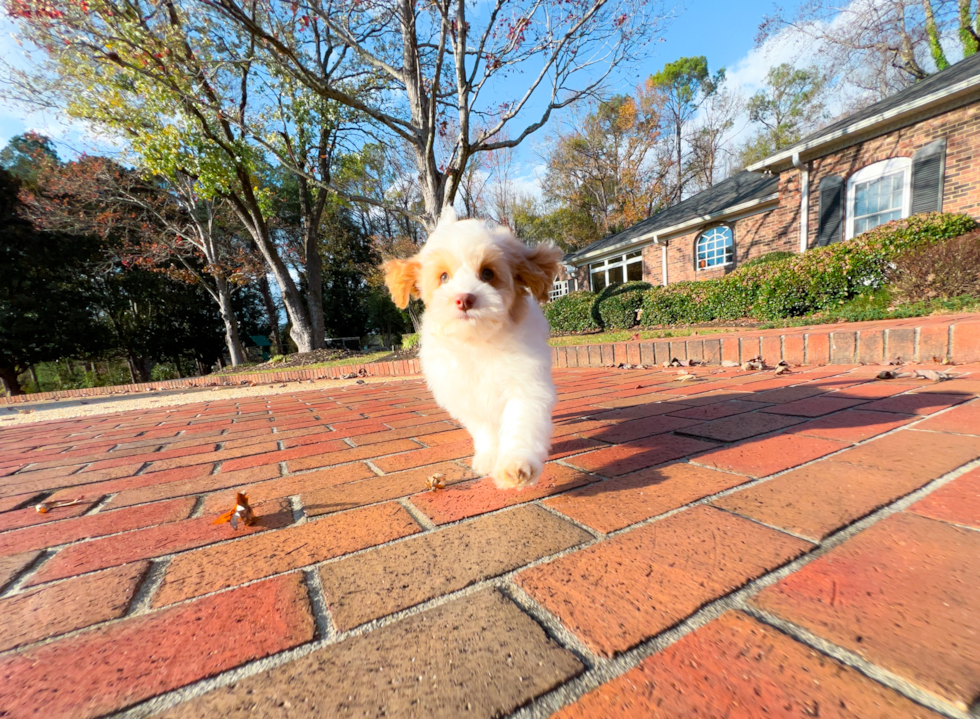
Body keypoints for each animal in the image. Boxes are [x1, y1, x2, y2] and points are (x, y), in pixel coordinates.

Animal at [384, 208, 568, 490]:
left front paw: (516, 465)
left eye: (488, 274)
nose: (464, 298)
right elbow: (484, 428)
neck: (478, 341)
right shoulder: (467, 394)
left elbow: (521, 422)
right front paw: (489, 456)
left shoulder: (526, 384)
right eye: (443, 277)